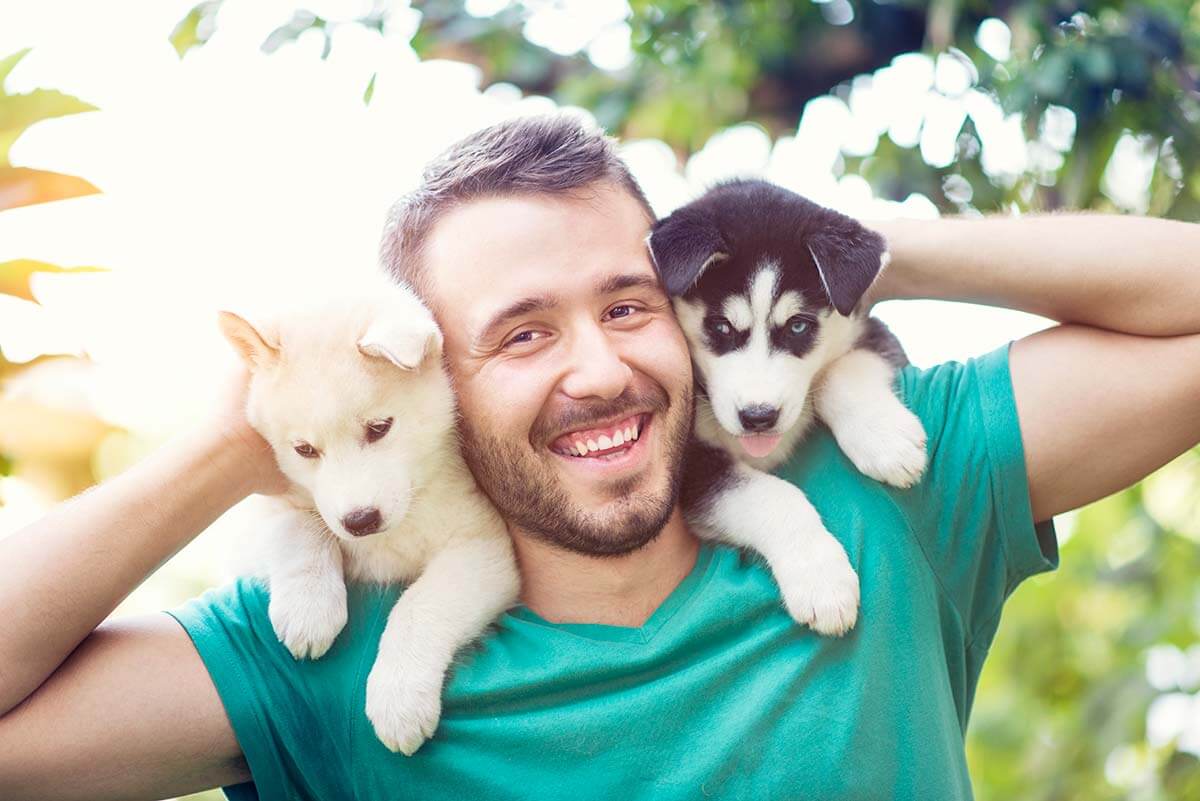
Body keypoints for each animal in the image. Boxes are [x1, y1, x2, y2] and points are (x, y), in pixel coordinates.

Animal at [219, 281, 516, 757]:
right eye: (305, 450)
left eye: (379, 428)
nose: (359, 520)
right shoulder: (261, 510)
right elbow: (299, 526)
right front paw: (309, 608)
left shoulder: (480, 544)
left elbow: (420, 604)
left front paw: (398, 697)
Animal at [652, 178, 931, 633]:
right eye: (720, 327)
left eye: (799, 326)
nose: (758, 417)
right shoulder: (688, 468)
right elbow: (769, 493)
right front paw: (821, 579)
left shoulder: (867, 330)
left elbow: (844, 368)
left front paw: (886, 441)